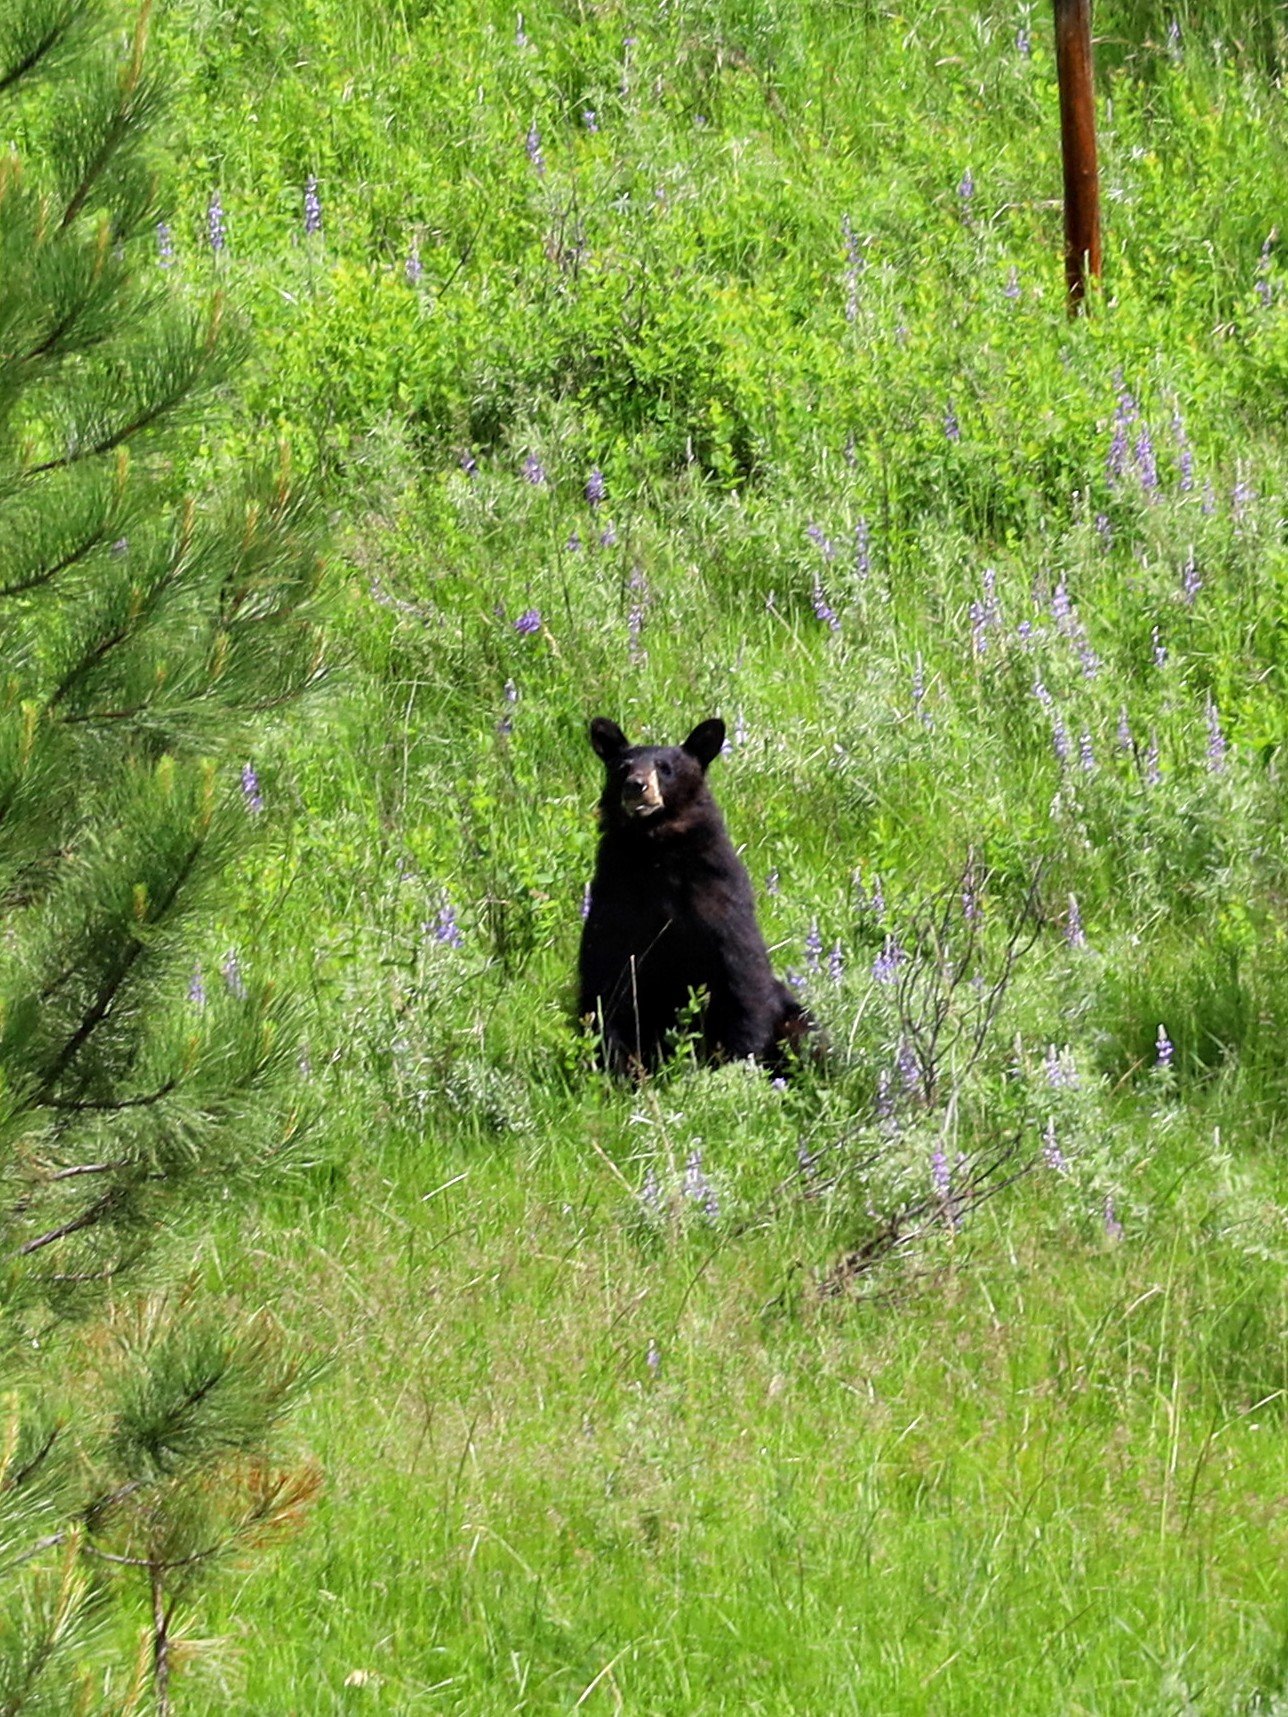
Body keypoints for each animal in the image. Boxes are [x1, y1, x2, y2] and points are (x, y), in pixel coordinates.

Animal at [583, 721, 810, 1071]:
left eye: (665, 768)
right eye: (622, 767)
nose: (636, 786)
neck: (656, 849)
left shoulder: (718, 896)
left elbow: (742, 974)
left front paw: (740, 1059)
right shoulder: (614, 899)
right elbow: (605, 977)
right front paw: (617, 1063)